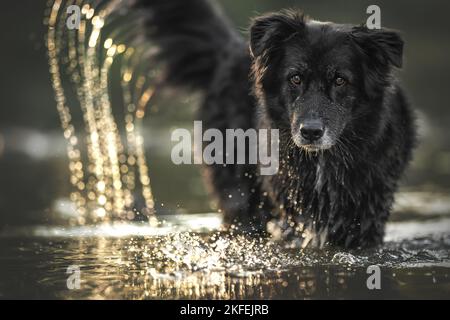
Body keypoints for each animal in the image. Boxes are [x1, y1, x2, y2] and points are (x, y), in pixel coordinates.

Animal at [136, 0, 414, 249]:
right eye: (296, 78)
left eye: (340, 80)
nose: (310, 132)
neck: (323, 162)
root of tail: (228, 50)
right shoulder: (293, 211)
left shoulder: (366, 216)